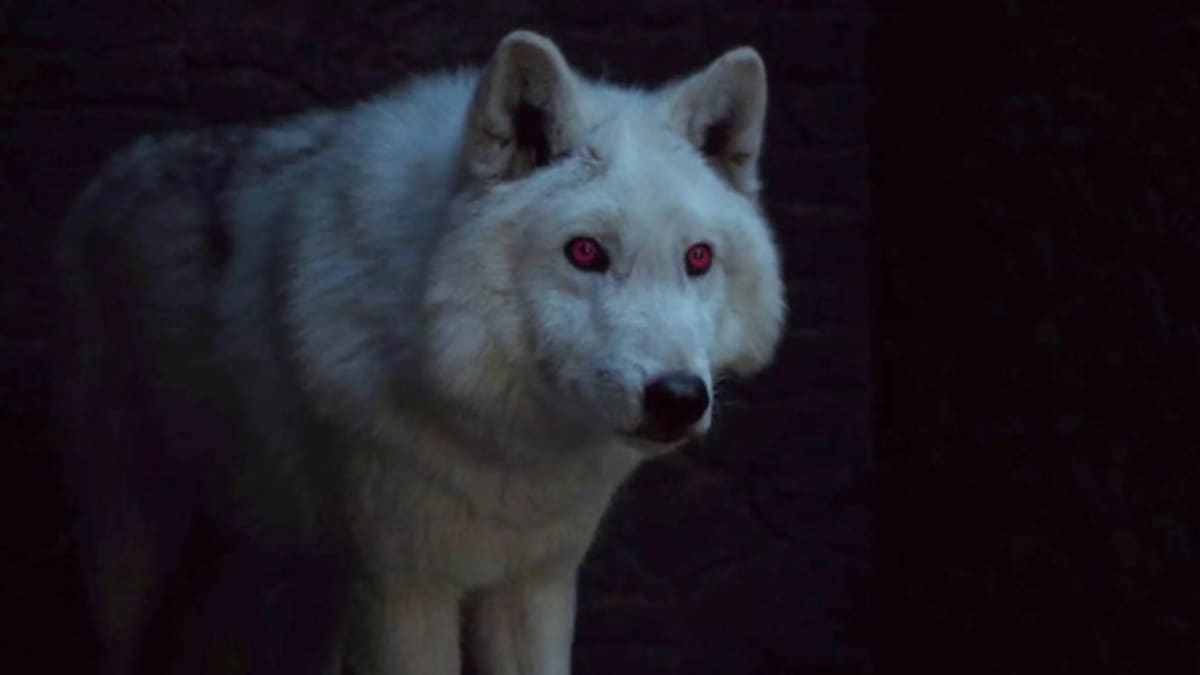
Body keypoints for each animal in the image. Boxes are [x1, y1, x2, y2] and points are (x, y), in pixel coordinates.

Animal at [55, 29, 786, 675]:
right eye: (585, 252)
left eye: (698, 258)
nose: (678, 397)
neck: (505, 441)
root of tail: (115, 169)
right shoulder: (405, 591)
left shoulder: (535, 583)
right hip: (128, 549)